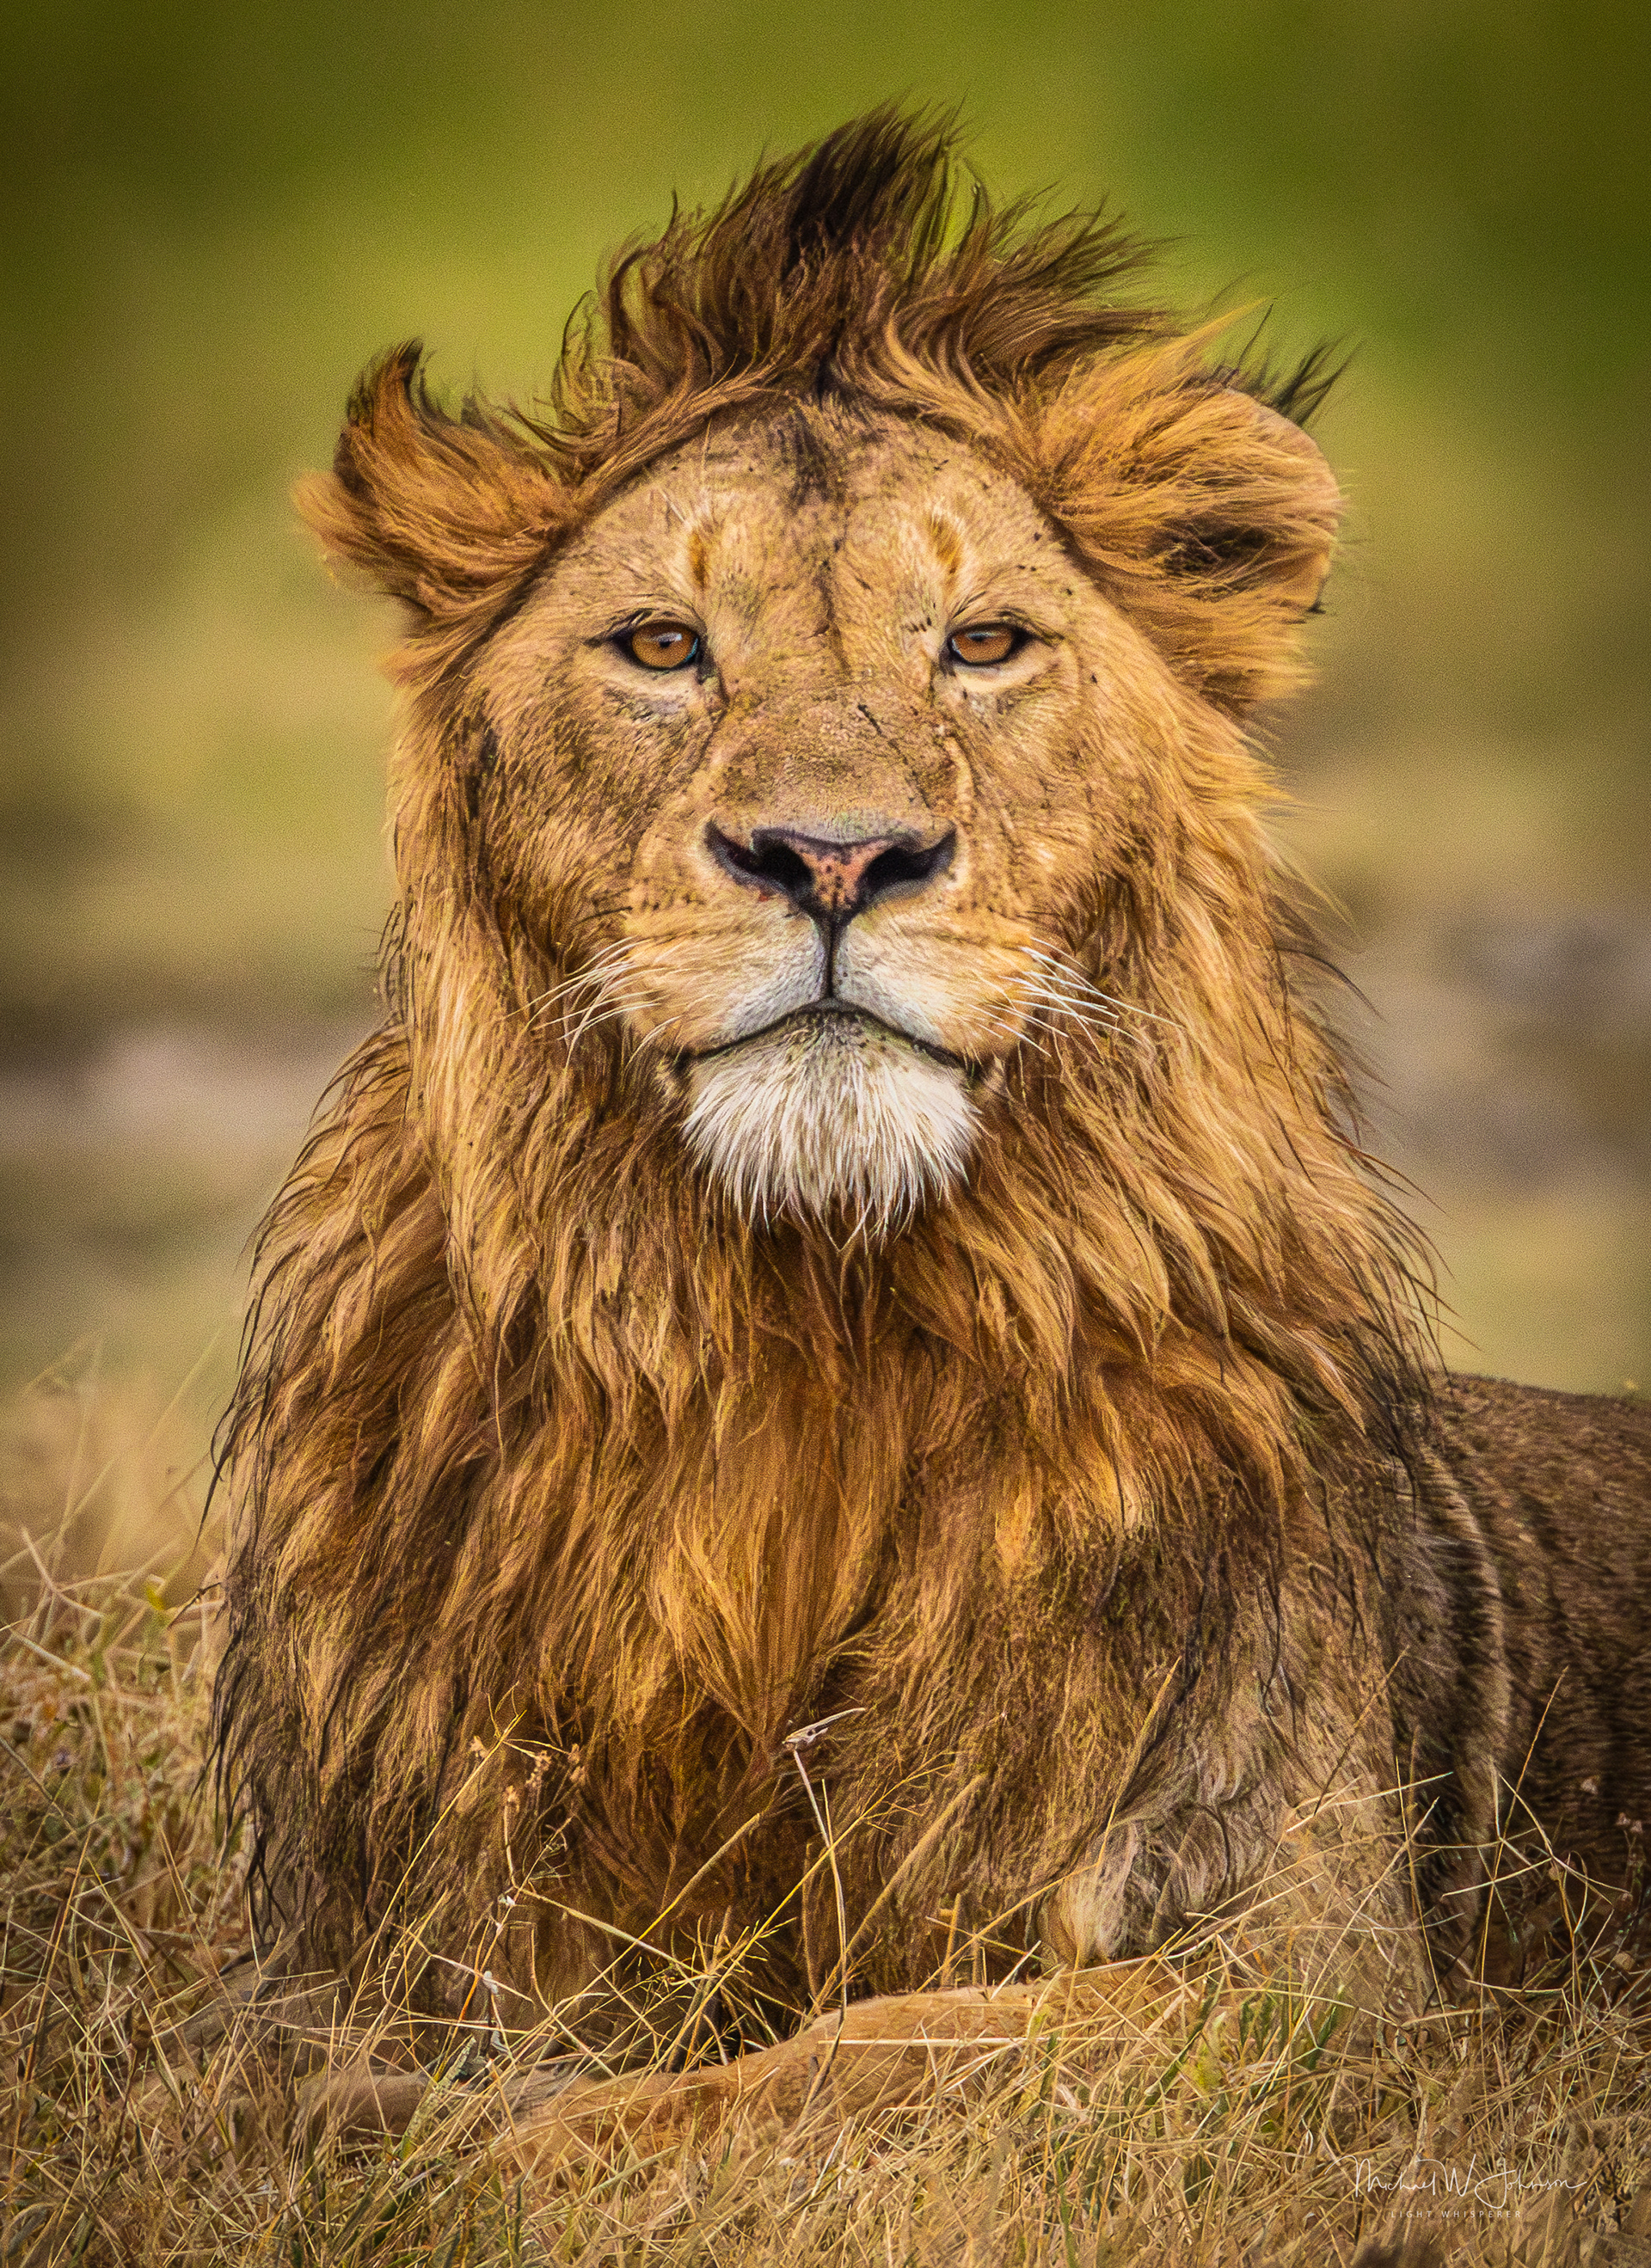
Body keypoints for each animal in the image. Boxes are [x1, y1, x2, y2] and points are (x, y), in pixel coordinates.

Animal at [214, 112, 1650, 2151]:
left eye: (983, 642)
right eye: (661, 643)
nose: (834, 855)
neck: (806, 1351)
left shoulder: (1311, 1984)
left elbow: (854, 2058)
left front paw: (503, 2144)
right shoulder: (389, 1921)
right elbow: (308, 2051)